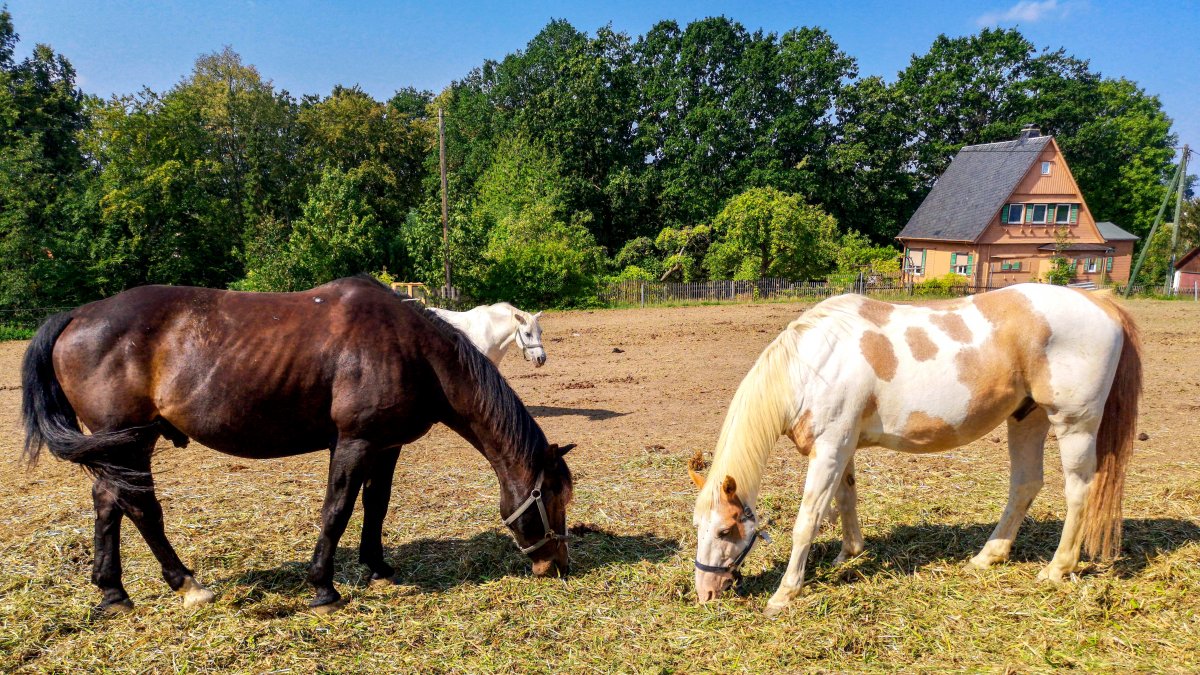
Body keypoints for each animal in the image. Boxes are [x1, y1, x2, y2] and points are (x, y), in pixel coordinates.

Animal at [21, 276, 573, 612]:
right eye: (552, 498)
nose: (558, 567)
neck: (412, 350)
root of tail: (78, 315)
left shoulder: (386, 446)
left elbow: (376, 506)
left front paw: (378, 567)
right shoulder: (354, 443)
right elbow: (338, 509)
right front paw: (323, 587)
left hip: (117, 447)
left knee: (108, 503)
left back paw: (113, 592)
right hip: (130, 442)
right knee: (139, 507)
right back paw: (186, 583)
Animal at [691, 281, 1137, 612]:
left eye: (726, 529)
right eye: (698, 526)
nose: (705, 592)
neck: (815, 364)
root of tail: (1101, 302)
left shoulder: (830, 448)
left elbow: (808, 520)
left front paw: (785, 593)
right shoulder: (843, 448)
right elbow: (846, 500)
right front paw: (849, 554)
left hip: (1074, 425)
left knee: (1078, 490)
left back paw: (1057, 568)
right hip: (1027, 418)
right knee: (1025, 485)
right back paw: (987, 556)